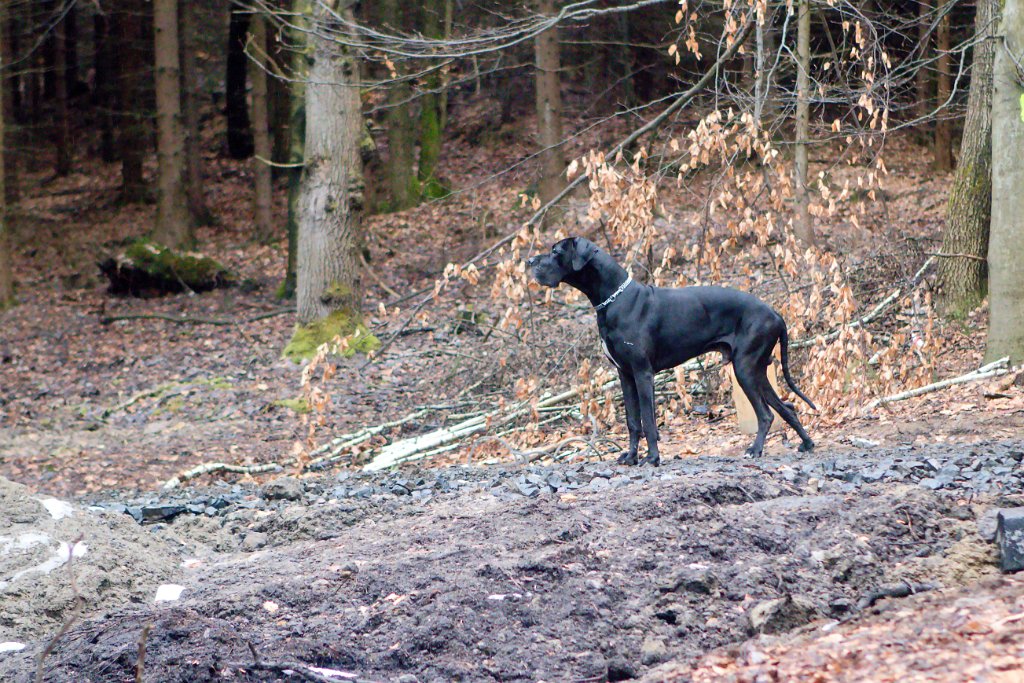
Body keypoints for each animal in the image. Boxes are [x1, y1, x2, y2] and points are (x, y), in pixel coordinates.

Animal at [528, 235, 815, 464]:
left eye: (556, 251)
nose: (529, 261)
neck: (614, 299)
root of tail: (776, 313)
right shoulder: (625, 375)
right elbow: (632, 421)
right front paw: (631, 456)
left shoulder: (643, 374)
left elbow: (648, 420)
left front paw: (652, 458)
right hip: (756, 370)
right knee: (786, 407)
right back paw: (807, 443)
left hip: (744, 368)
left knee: (766, 414)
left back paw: (755, 450)